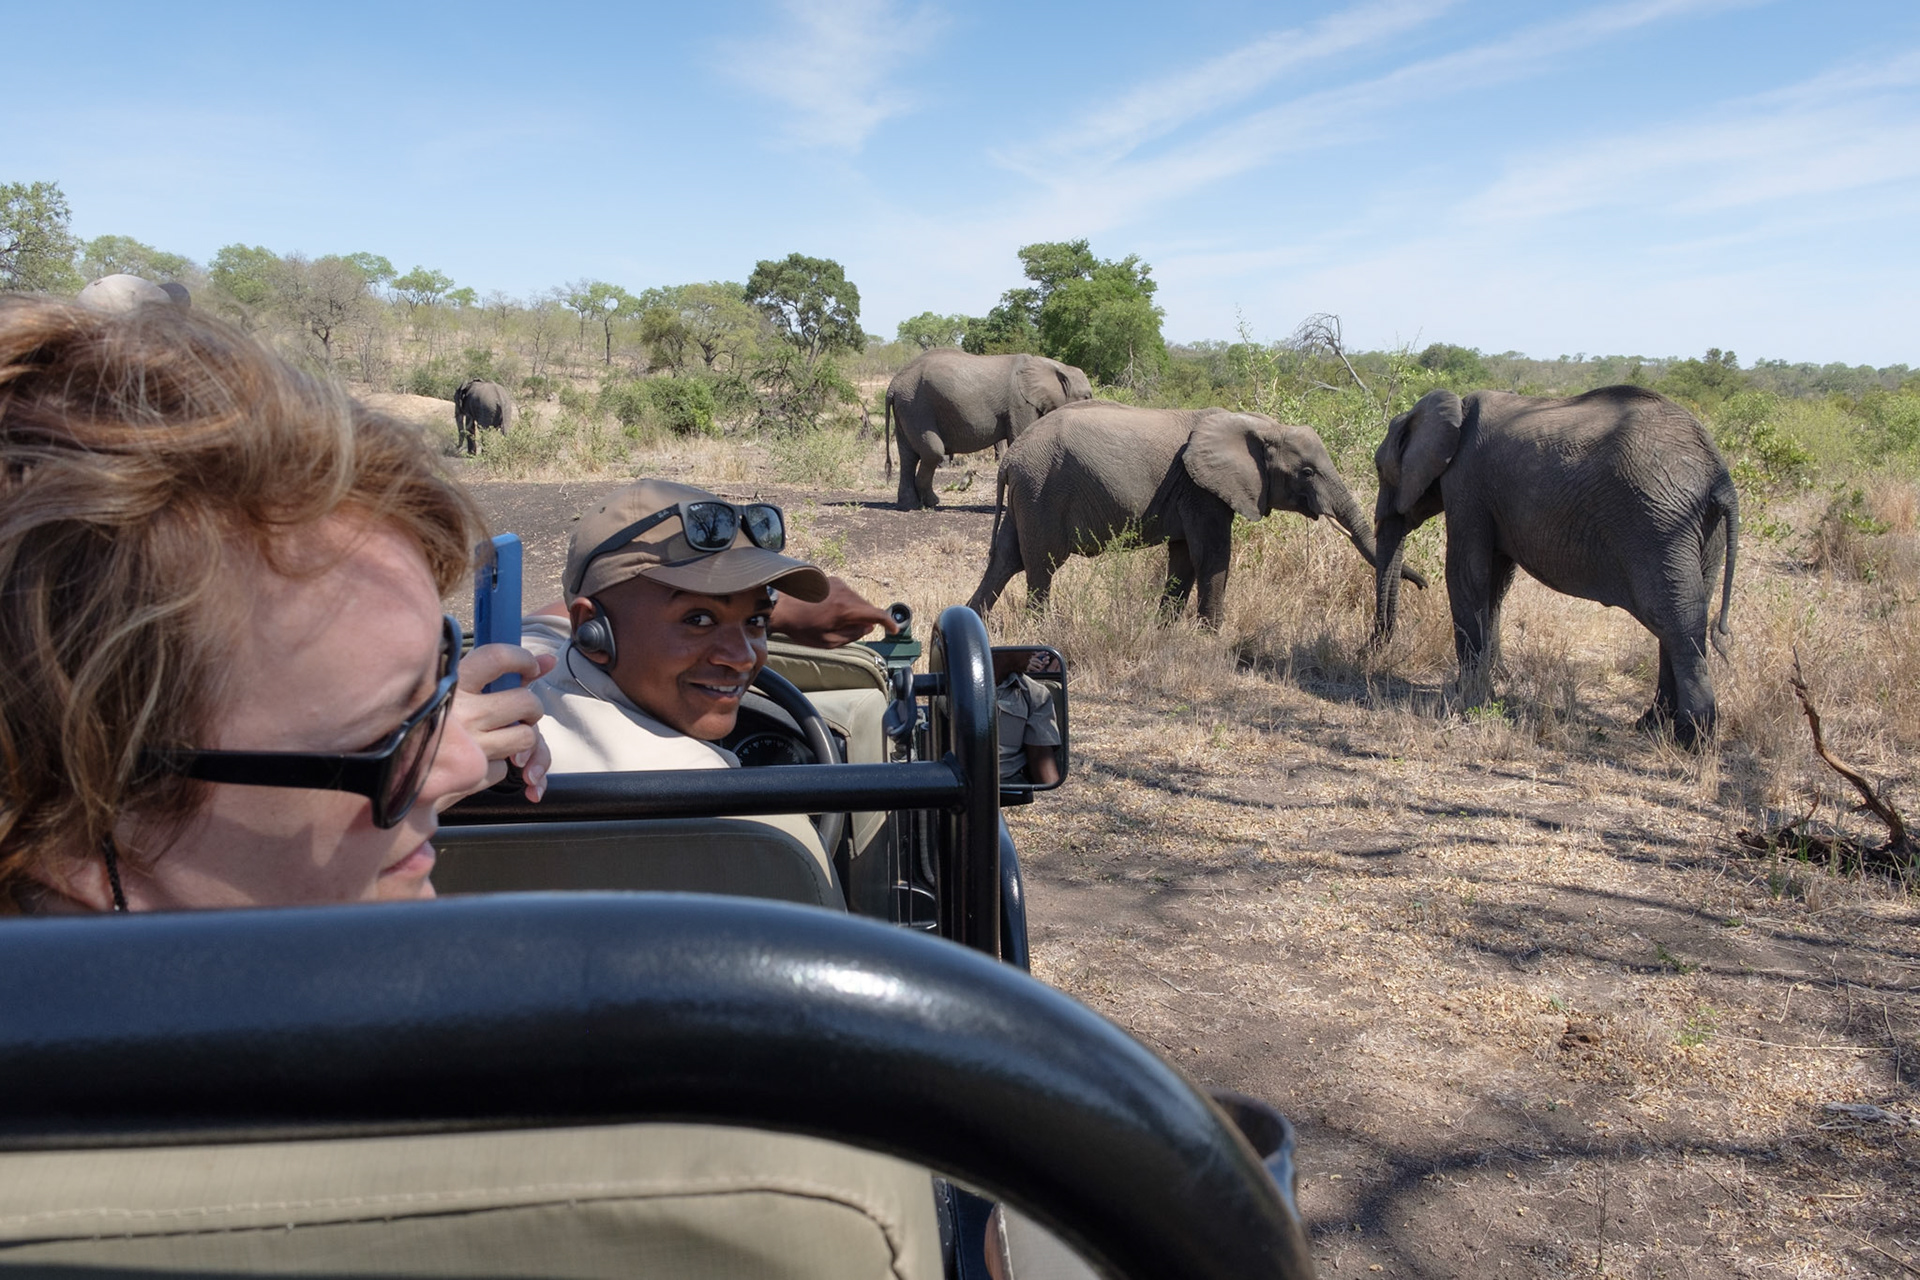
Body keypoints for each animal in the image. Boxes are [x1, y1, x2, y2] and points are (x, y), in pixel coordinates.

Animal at [885, 350, 1093, 511]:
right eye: (1086, 396)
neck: (1054, 366)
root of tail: (892, 386)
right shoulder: (1019, 403)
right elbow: (1020, 438)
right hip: (917, 407)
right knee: (932, 452)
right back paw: (931, 503)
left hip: (906, 407)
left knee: (908, 456)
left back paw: (909, 506)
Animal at [967, 400, 1426, 628]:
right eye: (1307, 472)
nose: (1422, 584)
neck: (1261, 425)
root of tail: (1010, 459)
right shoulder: (1203, 489)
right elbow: (1212, 556)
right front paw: (1211, 638)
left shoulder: (1192, 492)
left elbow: (1184, 558)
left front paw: (1165, 632)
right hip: (1042, 490)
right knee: (1040, 564)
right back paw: (1041, 633)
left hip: (1029, 494)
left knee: (1007, 558)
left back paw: (973, 622)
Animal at [1370, 386, 1739, 747]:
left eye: (1378, 469)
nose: (1374, 649)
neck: (1454, 407)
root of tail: (1719, 476)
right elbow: (1495, 584)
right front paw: (1489, 687)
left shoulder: (1466, 481)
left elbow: (1467, 574)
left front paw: (1466, 699)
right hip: (1698, 528)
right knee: (1682, 612)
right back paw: (1652, 725)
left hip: (1657, 522)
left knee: (1674, 618)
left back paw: (1691, 739)